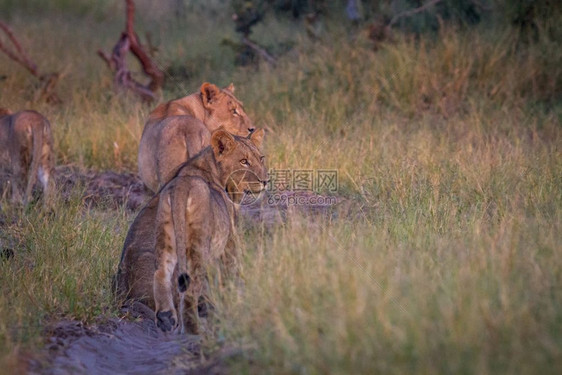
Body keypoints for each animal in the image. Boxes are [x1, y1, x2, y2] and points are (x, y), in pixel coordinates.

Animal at [115, 128, 266, 334]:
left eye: (261, 158)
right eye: (244, 161)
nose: (265, 181)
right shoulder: (229, 241)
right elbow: (230, 274)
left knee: (162, 277)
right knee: (188, 293)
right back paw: (196, 329)